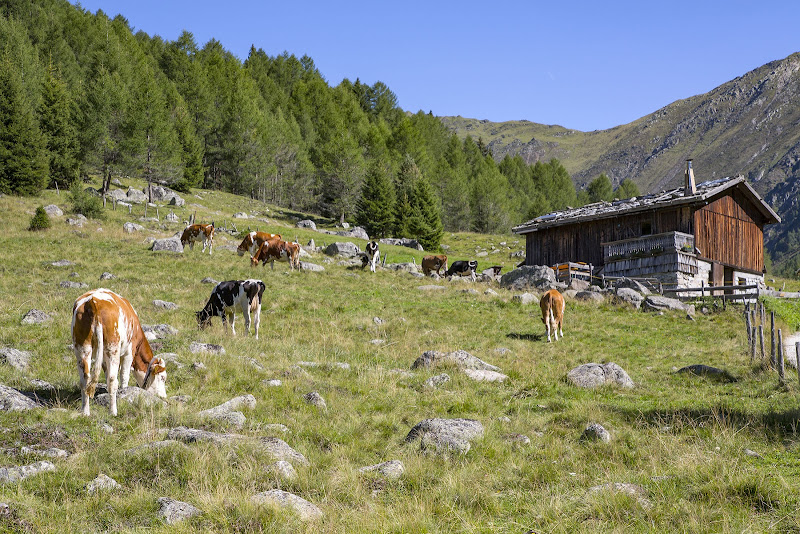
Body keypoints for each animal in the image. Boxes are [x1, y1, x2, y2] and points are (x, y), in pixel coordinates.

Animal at [72, 288, 167, 418]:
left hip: (82, 347)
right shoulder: (129, 352)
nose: (164, 396)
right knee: (112, 380)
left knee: (85, 380)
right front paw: (124, 393)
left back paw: (85, 412)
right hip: (113, 348)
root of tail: (93, 301)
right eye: (162, 378)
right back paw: (113, 412)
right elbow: (124, 376)